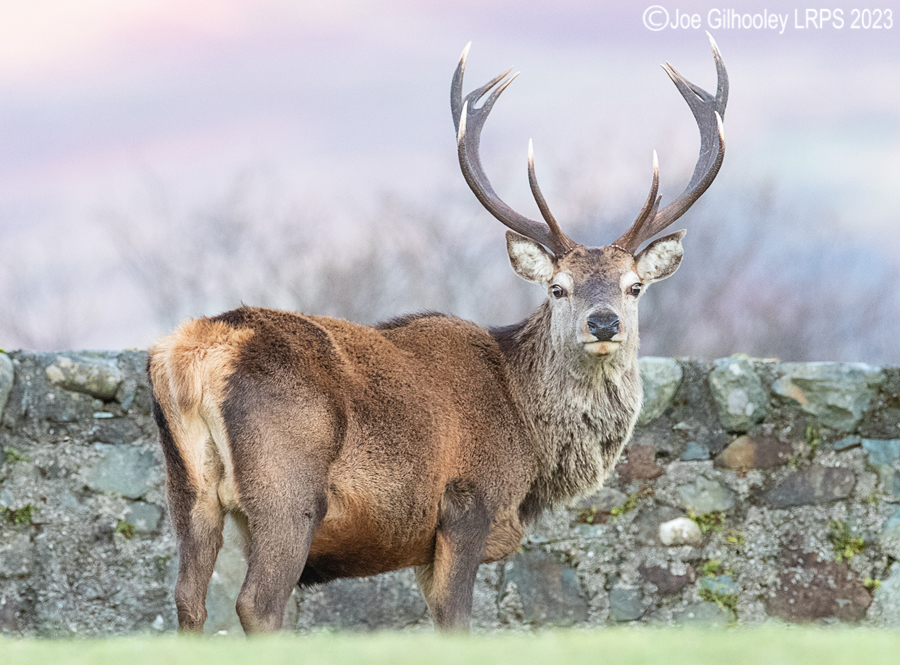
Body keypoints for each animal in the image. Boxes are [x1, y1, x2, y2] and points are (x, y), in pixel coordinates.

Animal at [147, 36, 727, 634]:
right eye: (558, 288)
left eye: (634, 286)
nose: (604, 322)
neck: (529, 442)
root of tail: (195, 354)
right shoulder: (465, 504)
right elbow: (456, 620)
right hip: (286, 486)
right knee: (256, 601)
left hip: (187, 488)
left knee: (188, 598)